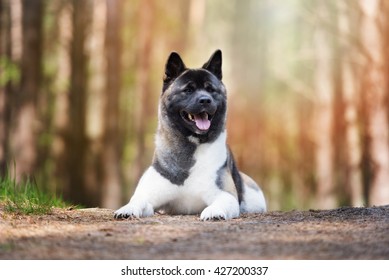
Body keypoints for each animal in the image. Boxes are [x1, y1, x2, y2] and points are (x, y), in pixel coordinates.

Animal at [112, 50, 266, 221]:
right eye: (188, 90)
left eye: (211, 89)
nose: (205, 100)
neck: (191, 147)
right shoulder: (149, 195)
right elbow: (138, 200)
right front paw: (127, 209)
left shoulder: (226, 195)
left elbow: (222, 202)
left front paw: (214, 212)